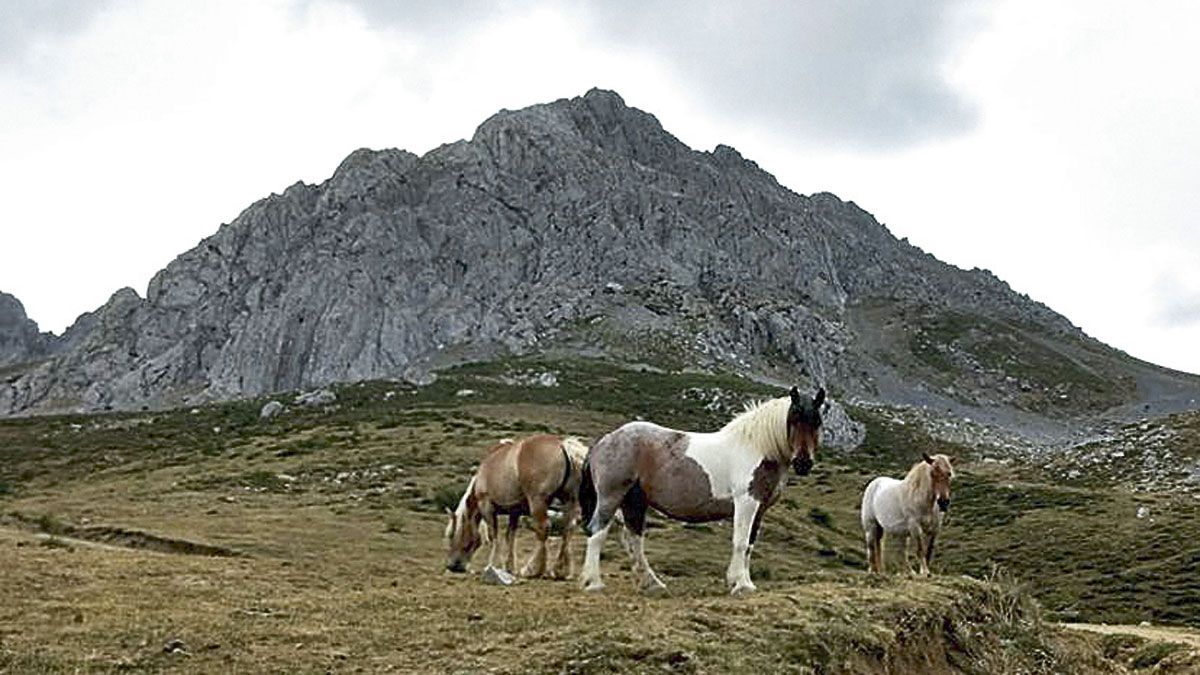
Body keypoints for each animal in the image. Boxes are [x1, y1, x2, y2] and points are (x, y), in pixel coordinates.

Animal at [444, 437, 588, 578]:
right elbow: (510, 536)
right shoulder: (514, 512)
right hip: (569, 500)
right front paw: (509, 567)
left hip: (538, 501)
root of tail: (563, 445)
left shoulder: (487, 506)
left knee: (543, 528)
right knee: (568, 528)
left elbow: (493, 535)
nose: (451, 566)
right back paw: (559, 570)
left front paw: (493, 565)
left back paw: (532, 569)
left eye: (451, 535)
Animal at [578, 386, 825, 590]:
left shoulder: (760, 509)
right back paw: (593, 582)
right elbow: (740, 542)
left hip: (634, 501)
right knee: (598, 532)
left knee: (635, 539)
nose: (804, 463)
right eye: (794, 419)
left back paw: (652, 583)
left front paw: (744, 581)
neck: (758, 448)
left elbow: (750, 545)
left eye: (817, 422)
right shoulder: (746, 503)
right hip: (611, 497)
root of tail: (605, 440)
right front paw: (740, 584)